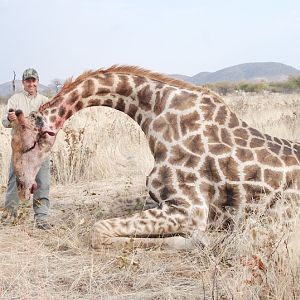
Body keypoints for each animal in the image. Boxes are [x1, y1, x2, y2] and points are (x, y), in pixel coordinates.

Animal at [8, 67, 300, 250]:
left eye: (31, 143)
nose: (22, 188)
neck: (155, 116)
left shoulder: (191, 209)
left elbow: (98, 230)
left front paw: (199, 241)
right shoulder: (163, 201)